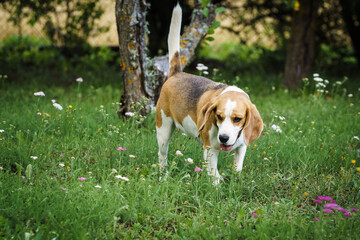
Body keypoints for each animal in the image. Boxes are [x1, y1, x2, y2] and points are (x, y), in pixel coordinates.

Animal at [155, 3, 262, 184]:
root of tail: (176, 73)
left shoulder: (242, 146)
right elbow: (214, 174)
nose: (223, 138)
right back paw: (163, 176)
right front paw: (218, 184)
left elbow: (237, 167)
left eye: (237, 119)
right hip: (163, 130)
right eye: (218, 116)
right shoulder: (210, 149)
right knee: (162, 155)